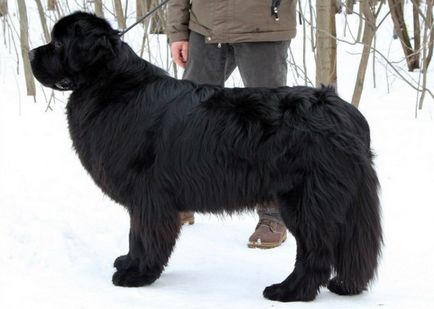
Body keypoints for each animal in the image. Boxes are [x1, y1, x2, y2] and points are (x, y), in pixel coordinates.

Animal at [30, 12, 382, 300]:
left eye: (58, 43)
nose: (31, 52)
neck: (111, 84)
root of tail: (346, 113)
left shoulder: (148, 195)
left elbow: (143, 234)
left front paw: (136, 274)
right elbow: (135, 235)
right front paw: (128, 262)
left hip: (305, 201)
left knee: (316, 253)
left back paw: (289, 291)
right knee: (351, 249)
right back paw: (345, 286)